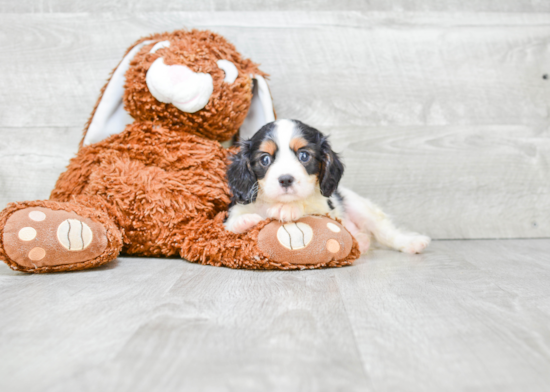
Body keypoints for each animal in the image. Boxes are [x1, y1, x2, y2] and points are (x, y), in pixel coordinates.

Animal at [224, 118, 432, 254]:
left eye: (304, 156)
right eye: (265, 159)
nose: (285, 179)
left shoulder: (324, 208)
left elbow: (307, 206)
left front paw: (288, 209)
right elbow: (230, 224)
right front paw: (244, 221)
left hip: (360, 207)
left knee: (386, 233)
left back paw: (412, 243)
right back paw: (361, 240)